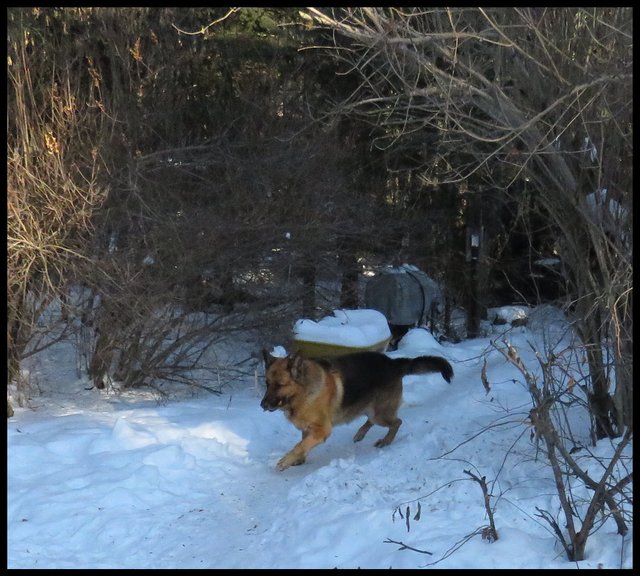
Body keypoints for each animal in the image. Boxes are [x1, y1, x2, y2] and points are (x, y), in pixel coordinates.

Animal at [258, 348, 450, 470]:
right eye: (267, 384)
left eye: (279, 385)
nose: (262, 405)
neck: (302, 391)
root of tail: (393, 363)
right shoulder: (308, 428)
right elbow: (303, 443)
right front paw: (298, 459)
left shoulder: (321, 430)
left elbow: (300, 445)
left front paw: (286, 461)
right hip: (367, 408)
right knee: (372, 420)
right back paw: (360, 434)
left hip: (380, 413)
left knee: (397, 422)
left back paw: (386, 441)